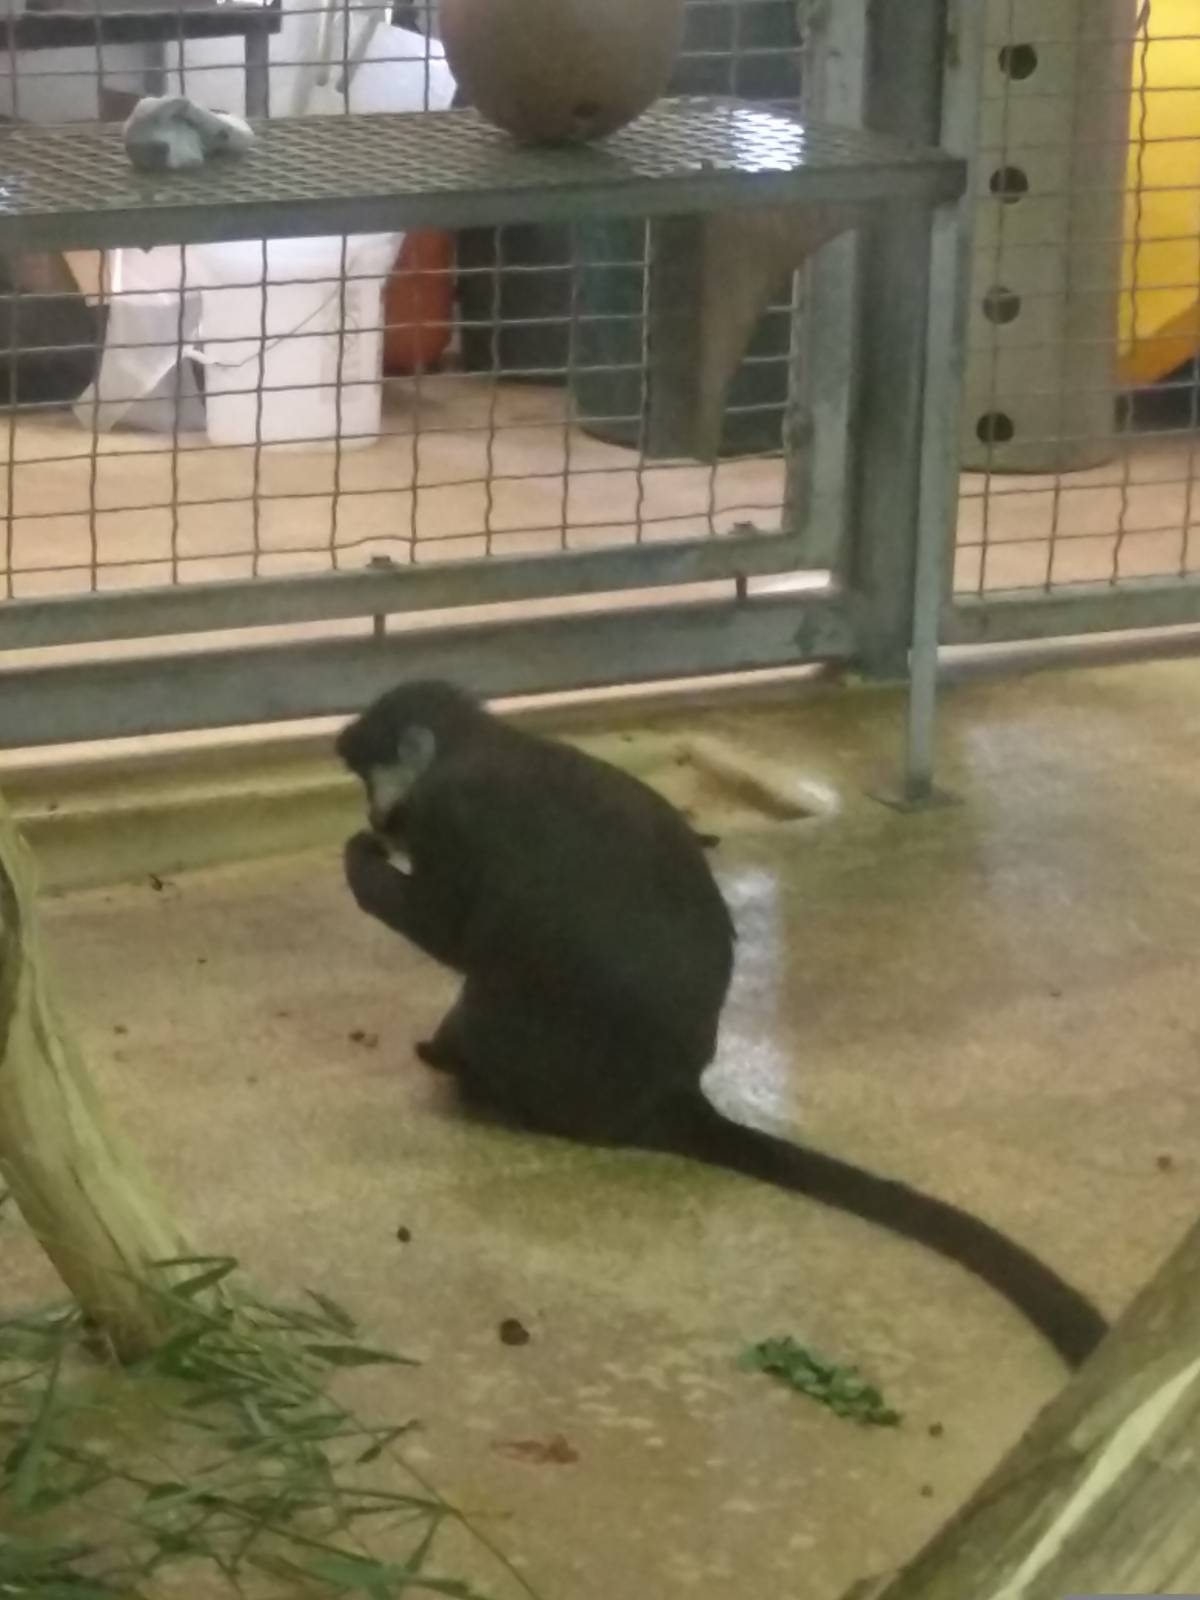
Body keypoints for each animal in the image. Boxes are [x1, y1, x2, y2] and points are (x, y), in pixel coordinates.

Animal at [337, 680, 1107, 1369]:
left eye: (370, 777)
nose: (375, 816)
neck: (476, 743)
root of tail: (670, 1098)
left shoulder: (450, 814)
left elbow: (448, 933)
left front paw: (359, 861)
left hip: (537, 1058)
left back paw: (463, 1072)